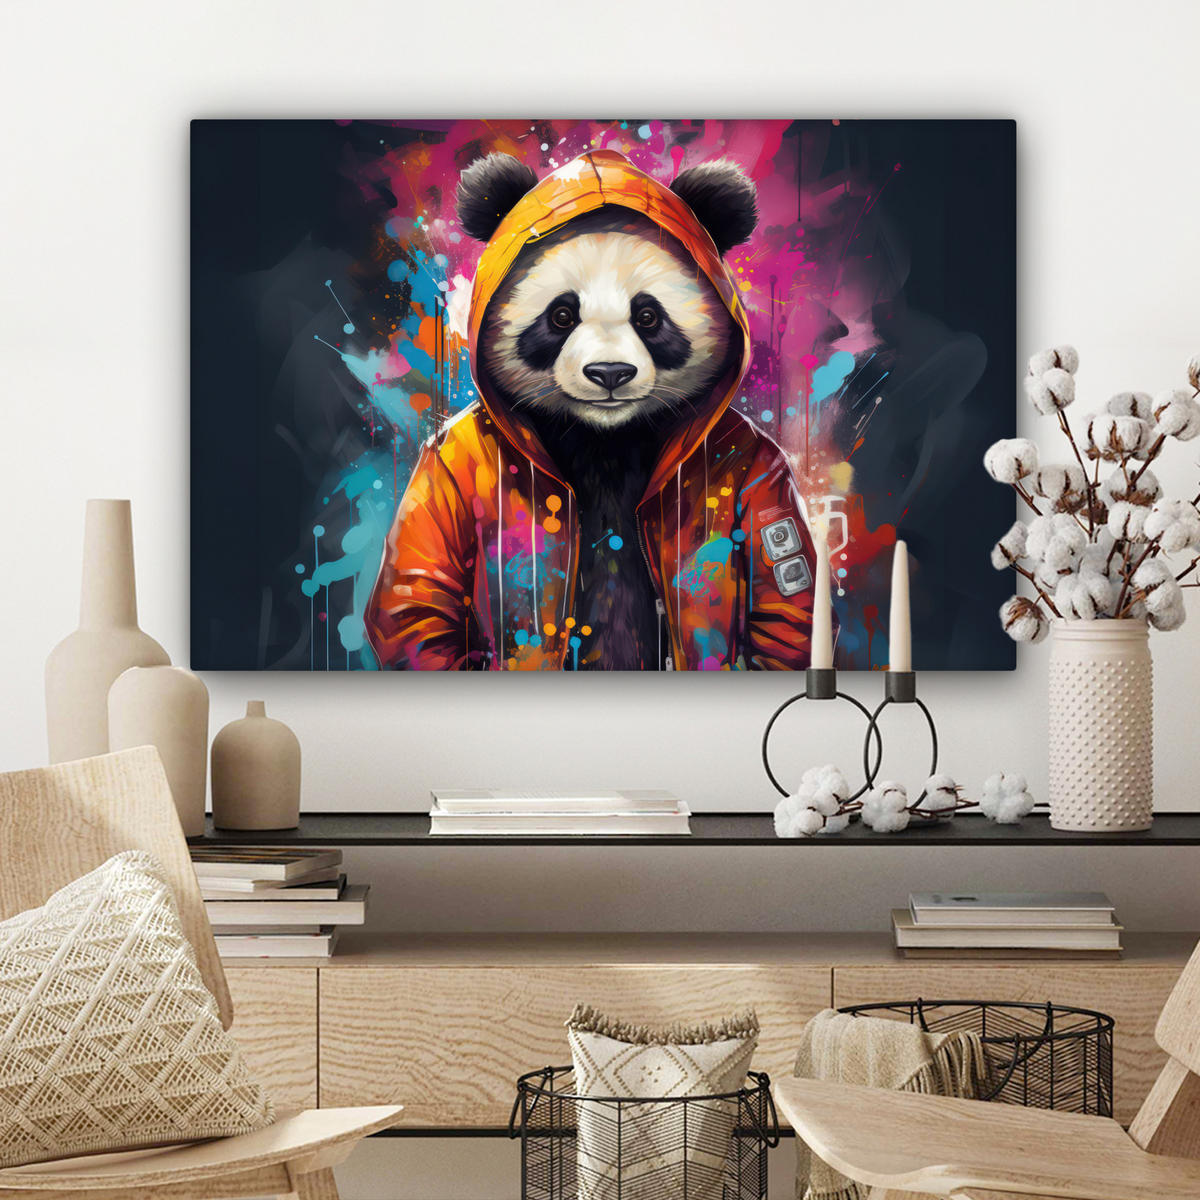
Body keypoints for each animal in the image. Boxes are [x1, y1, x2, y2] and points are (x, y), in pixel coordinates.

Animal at [365, 149, 820, 671]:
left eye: (648, 316)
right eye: (562, 315)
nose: (609, 373)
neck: (605, 436)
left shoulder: (757, 459)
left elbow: (782, 604)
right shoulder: (448, 459)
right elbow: (421, 591)